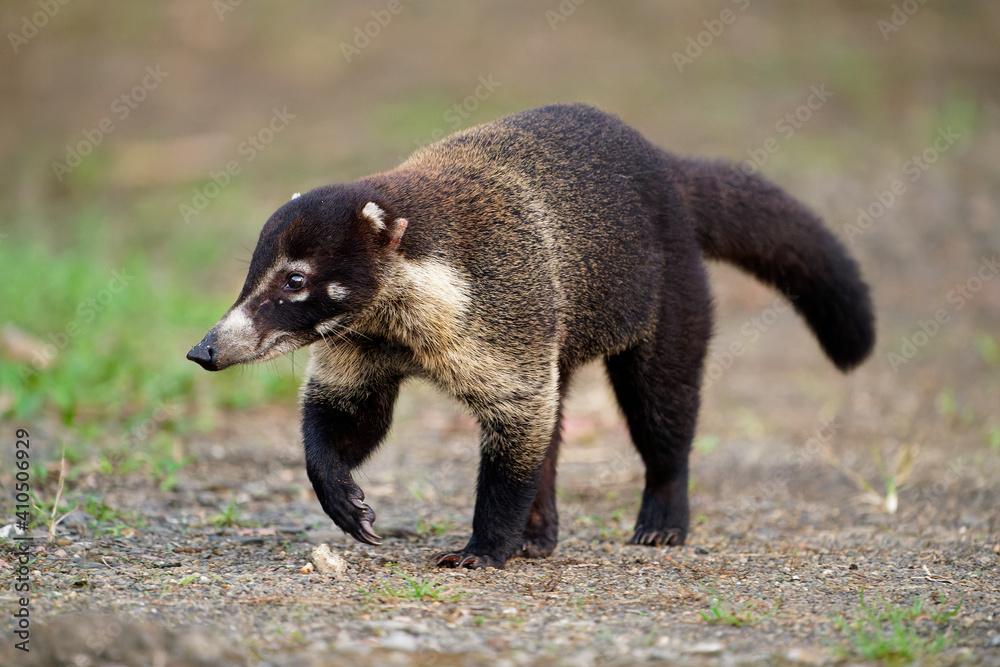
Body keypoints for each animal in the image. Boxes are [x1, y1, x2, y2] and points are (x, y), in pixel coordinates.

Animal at [187, 103, 874, 569]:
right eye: (252, 275)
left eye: (296, 280)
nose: (203, 350)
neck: (397, 320)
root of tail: (666, 167)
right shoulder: (362, 343)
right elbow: (349, 416)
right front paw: (340, 493)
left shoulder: (504, 317)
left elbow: (517, 424)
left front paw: (486, 544)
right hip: (560, 338)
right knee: (555, 423)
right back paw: (539, 530)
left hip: (671, 296)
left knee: (662, 406)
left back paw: (662, 510)